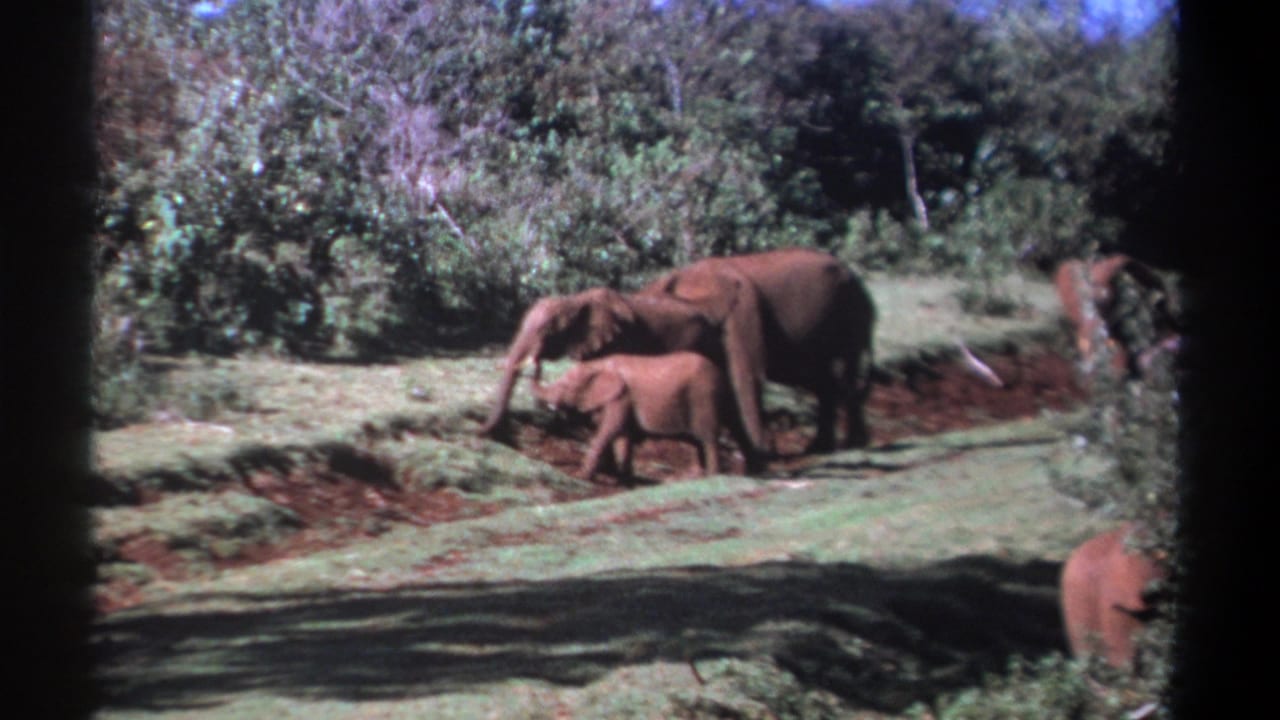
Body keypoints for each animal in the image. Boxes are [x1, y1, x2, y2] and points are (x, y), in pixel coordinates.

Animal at [530, 352, 752, 482]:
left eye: (567, 387)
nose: (536, 358)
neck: (600, 364)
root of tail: (720, 373)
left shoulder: (621, 397)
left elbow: (609, 430)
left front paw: (581, 476)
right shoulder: (621, 400)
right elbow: (623, 435)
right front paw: (624, 478)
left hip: (704, 397)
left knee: (707, 439)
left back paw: (711, 477)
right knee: (700, 441)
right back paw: (696, 476)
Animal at [639, 247, 876, 453]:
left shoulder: (743, 312)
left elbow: (745, 375)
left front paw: (760, 451)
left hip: (851, 311)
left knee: (846, 370)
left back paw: (853, 444)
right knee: (816, 377)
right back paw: (821, 447)